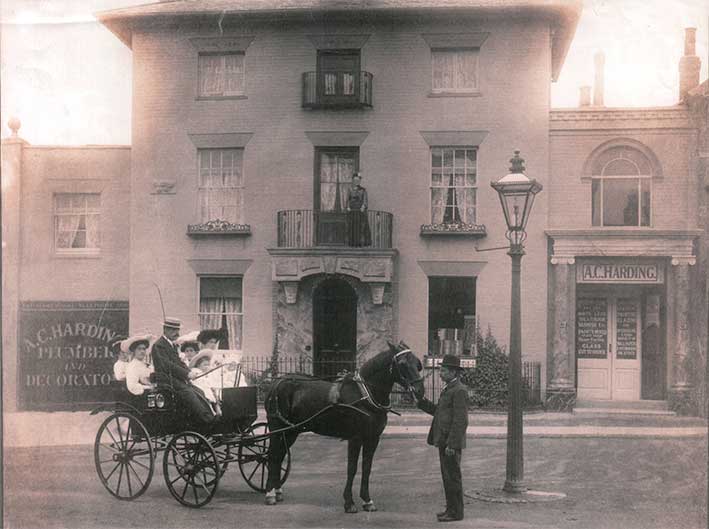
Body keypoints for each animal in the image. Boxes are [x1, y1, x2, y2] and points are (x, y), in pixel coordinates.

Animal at [262, 342, 424, 512]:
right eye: (402, 363)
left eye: (417, 363)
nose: (420, 391)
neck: (365, 395)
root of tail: (276, 383)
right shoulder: (355, 438)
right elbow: (352, 468)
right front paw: (349, 502)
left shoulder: (372, 438)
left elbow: (367, 468)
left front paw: (367, 500)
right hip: (277, 428)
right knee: (272, 456)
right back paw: (270, 493)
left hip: (291, 431)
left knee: (279, 456)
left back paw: (277, 491)